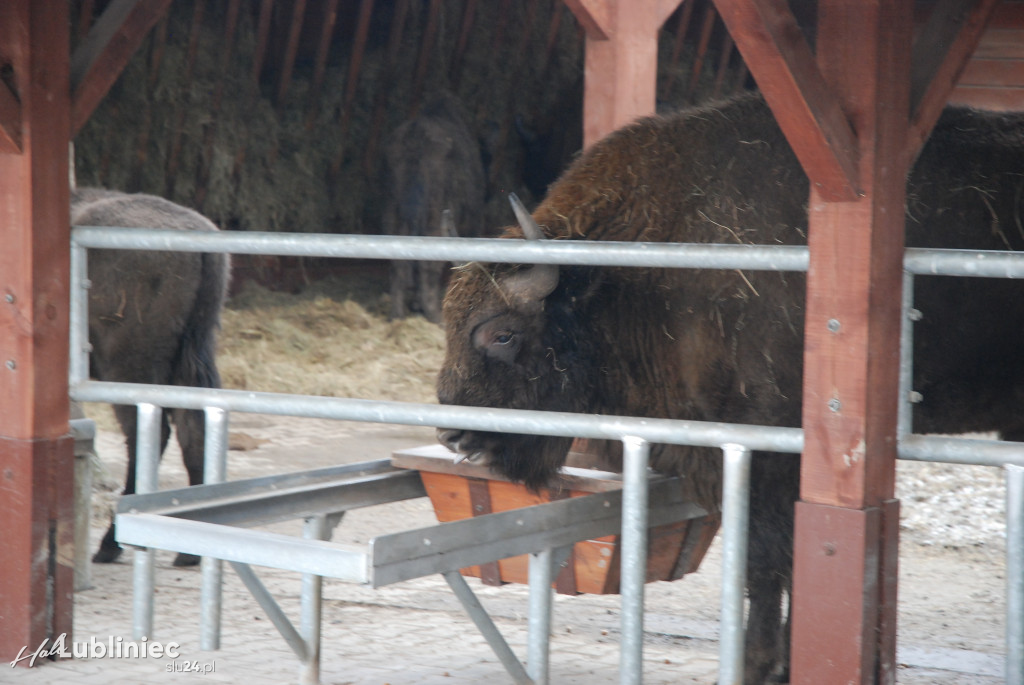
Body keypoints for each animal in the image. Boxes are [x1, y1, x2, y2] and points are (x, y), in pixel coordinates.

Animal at [72, 187, 230, 565]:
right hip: (187, 357)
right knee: (194, 430)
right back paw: (189, 550)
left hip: (128, 364)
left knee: (148, 435)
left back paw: (111, 543)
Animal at [432, 93, 1024, 679]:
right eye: (448, 320)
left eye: (502, 333)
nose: (452, 435)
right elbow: (778, 559)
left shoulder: (767, 451)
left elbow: (767, 558)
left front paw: (760, 663)